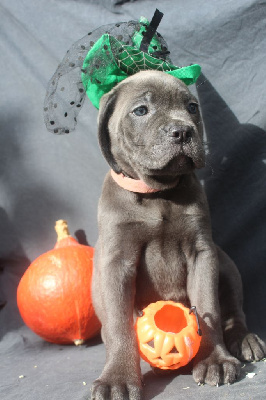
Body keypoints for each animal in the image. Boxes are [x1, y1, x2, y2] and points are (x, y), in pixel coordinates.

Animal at [90, 70, 264, 398]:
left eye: (192, 107)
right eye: (141, 111)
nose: (183, 132)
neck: (158, 193)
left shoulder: (202, 253)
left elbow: (209, 307)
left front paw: (215, 360)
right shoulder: (116, 263)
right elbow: (119, 324)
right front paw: (118, 378)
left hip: (225, 262)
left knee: (233, 311)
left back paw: (244, 339)